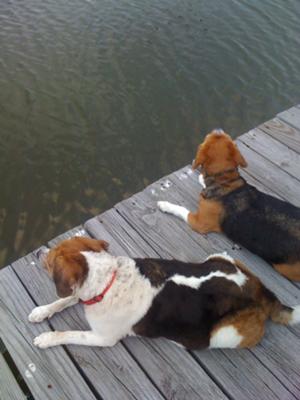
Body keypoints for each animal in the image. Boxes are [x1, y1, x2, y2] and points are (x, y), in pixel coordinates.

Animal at [28, 238, 300, 350]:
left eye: (49, 262)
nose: (38, 252)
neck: (110, 279)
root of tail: (260, 292)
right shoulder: (82, 292)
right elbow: (64, 298)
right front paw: (41, 311)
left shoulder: (102, 338)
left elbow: (67, 333)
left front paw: (46, 338)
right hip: (219, 257)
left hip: (224, 334)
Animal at [159, 130, 300, 280]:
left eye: (208, 136)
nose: (218, 129)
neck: (224, 180)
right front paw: (201, 179)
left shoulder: (199, 222)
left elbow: (181, 209)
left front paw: (164, 205)